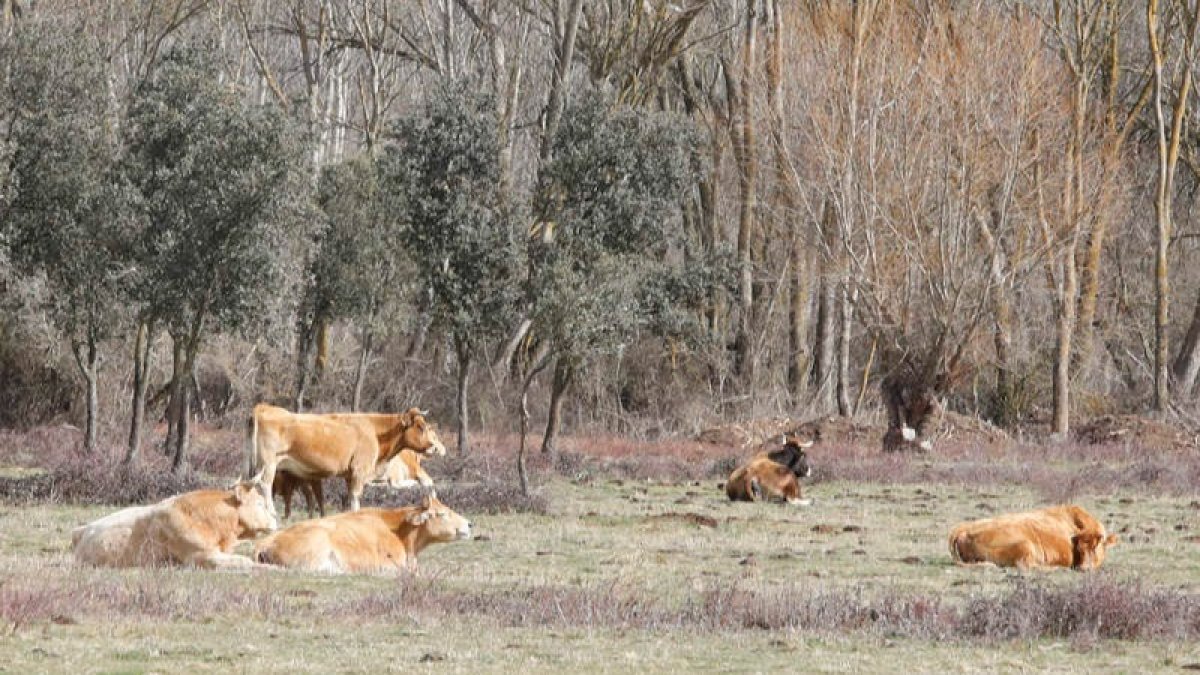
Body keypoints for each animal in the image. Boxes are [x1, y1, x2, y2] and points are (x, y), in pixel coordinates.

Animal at [250, 401, 448, 511]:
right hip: (269, 463)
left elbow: (351, 496)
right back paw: (272, 513)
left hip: (260, 464)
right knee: (265, 485)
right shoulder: (360, 471)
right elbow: (355, 496)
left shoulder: (349, 475)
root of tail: (264, 407)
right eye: (421, 427)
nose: (435, 448)